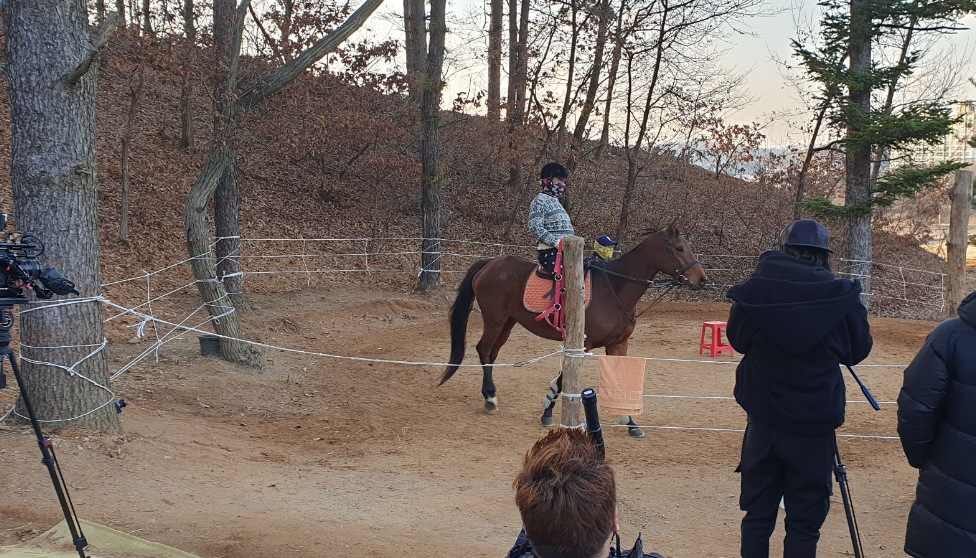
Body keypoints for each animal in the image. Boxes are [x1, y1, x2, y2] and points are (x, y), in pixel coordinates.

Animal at [442, 222, 708, 438]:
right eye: (679, 248)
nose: (702, 279)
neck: (614, 287)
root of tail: (490, 263)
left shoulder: (618, 343)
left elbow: (619, 379)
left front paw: (629, 421)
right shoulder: (582, 344)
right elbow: (562, 380)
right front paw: (547, 410)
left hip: (508, 321)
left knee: (492, 353)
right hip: (495, 319)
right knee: (483, 350)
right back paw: (490, 398)